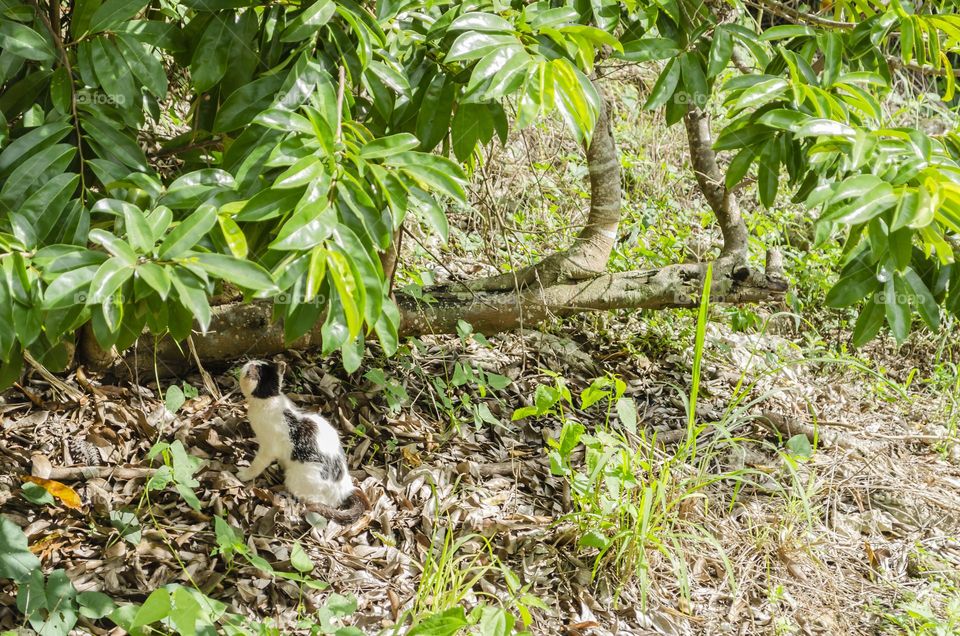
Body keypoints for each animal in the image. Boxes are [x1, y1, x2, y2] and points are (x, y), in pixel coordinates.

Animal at [236, 360, 368, 524]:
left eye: (254, 367)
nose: (251, 361)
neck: (270, 400)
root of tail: (346, 490)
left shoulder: (268, 448)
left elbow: (257, 465)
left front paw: (245, 474)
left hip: (297, 480)